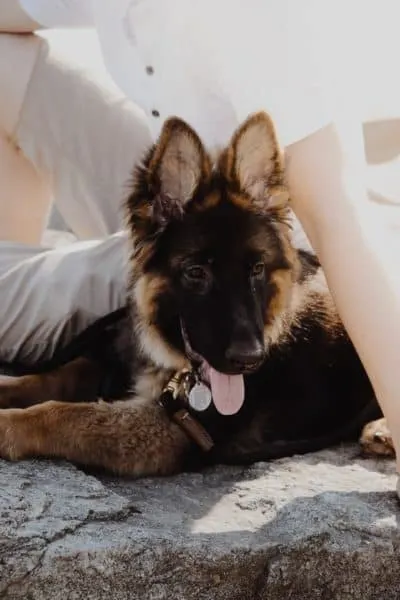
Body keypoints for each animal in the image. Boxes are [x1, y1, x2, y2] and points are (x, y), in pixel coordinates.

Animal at [0, 113, 390, 478]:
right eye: (196, 272)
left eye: (257, 270)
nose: (250, 359)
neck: (173, 360)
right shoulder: (113, 360)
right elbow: (50, 377)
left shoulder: (174, 430)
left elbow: (69, 415)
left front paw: (7, 425)